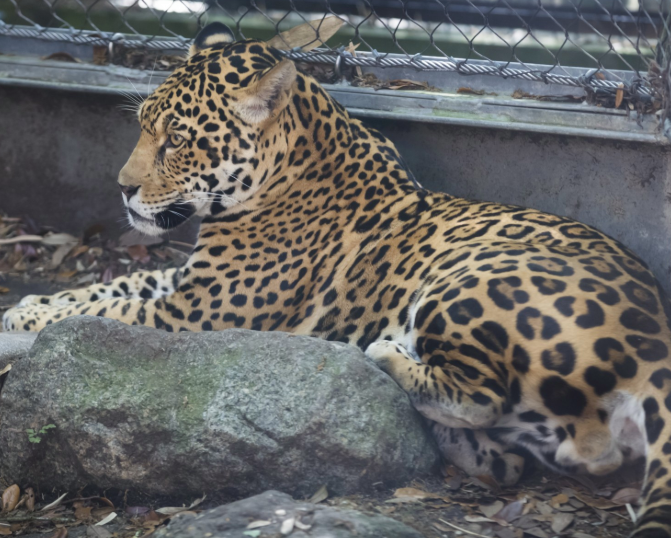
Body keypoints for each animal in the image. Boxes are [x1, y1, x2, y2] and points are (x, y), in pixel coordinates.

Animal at [4, 22, 671, 536]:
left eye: (178, 140)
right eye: (144, 125)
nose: (122, 187)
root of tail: (655, 343)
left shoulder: (196, 312)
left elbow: (109, 310)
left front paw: (28, 319)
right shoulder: (187, 286)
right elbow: (110, 289)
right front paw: (28, 307)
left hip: (469, 279)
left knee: (484, 394)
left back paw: (387, 355)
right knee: (569, 453)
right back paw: (466, 446)